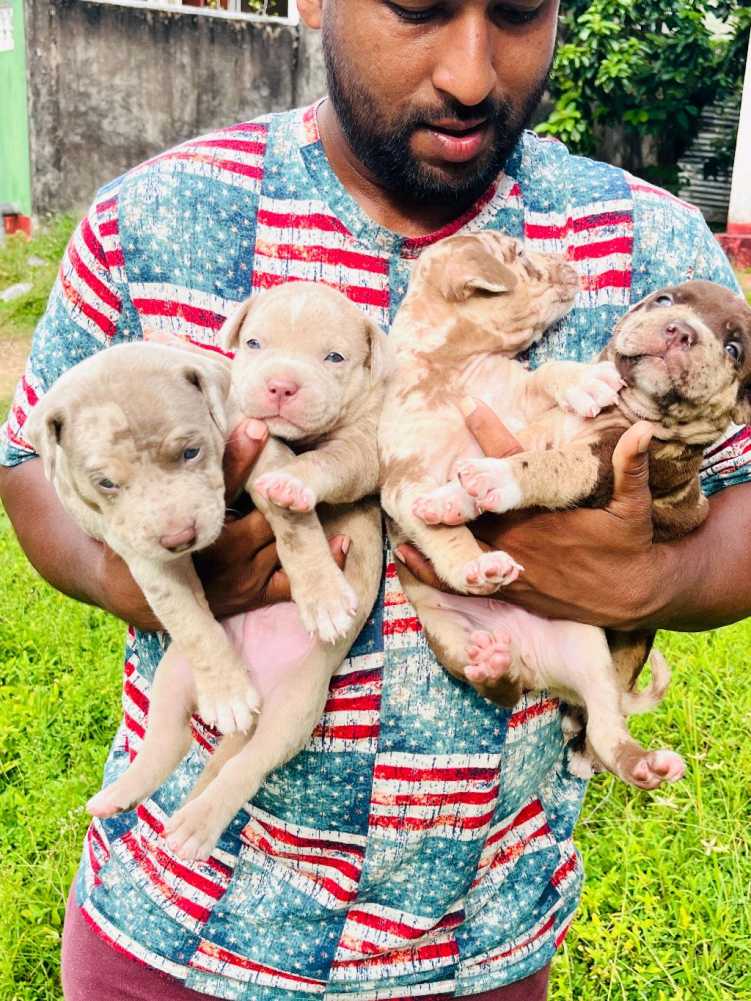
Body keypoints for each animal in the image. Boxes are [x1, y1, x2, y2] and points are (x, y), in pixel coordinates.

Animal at [27, 282, 387, 860]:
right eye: (105, 483)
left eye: (192, 451)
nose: (180, 536)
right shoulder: (144, 553)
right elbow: (186, 615)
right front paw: (225, 685)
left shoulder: (265, 455)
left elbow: (295, 528)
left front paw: (324, 598)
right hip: (177, 676)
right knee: (168, 740)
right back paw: (125, 793)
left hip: (296, 707)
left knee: (246, 765)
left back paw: (197, 822)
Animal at [381, 230, 751, 788]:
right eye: (521, 255)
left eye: (733, 348)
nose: (572, 262)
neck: (454, 367)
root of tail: (529, 660)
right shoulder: (404, 477)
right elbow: (445, 526)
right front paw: (470, 554)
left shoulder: (558, 429)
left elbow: (546, 400)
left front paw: (583, 382)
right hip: (450, 641)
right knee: (499, 687)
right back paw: (493, 663)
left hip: (587, 651)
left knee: (603, 725)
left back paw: (641, 762)